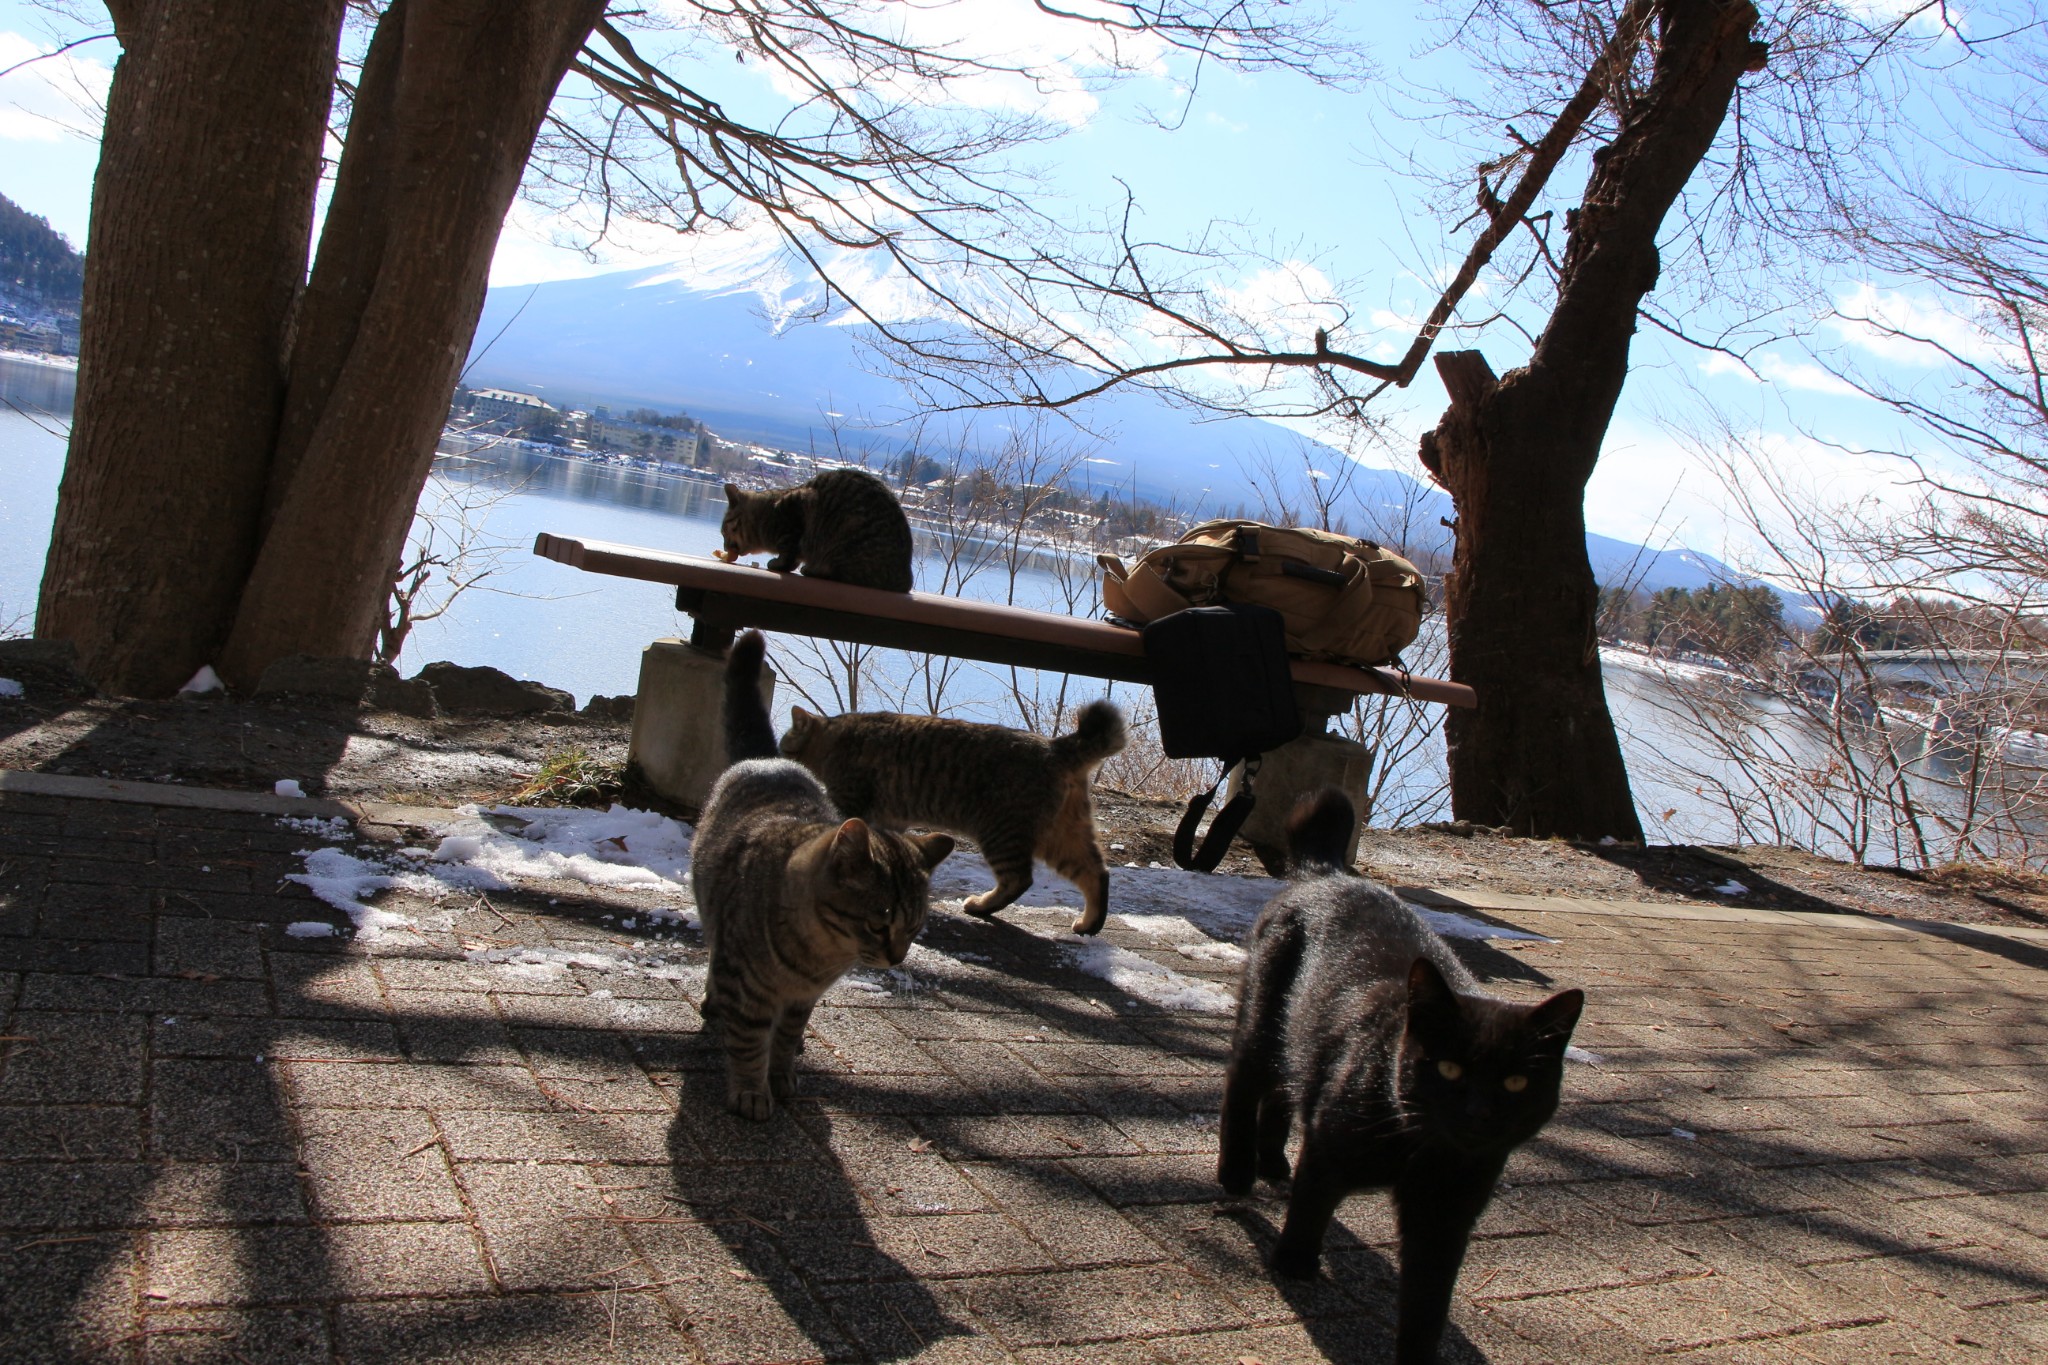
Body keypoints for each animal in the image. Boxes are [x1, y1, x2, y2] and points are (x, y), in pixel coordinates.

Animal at [684, 634, 946, 1121]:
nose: (897, 958)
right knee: (714, 962)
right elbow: (749, 1042)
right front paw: (751, 1090)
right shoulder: (746, 984)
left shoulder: (802, 1000)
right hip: (716, 921)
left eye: (915, 928)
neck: (817, 954)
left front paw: (783, 1074)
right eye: (878, 923)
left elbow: (785, 1039)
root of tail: (768, 759)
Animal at [720, 466, 913, 589]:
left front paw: (779, 564)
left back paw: (813, 569)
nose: (724, 547)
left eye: (723, 532)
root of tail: (906, 577)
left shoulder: (795, 513)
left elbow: (788, 551)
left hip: (846, 542)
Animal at [782, 703, 1138, 941]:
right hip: (1063, 835)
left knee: (1019, 879)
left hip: (1002, 832)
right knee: (1096, 873)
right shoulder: (890, 818)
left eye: (785, 742)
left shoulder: (851, 802)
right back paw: (1090, 924)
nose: (776, 753)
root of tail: (1055, 745)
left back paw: (981, 906)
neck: (836, 737)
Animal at [1212, 789, 1581, 1365]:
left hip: (1301, 1034)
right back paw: (1236, 1172)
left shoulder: (1447, 1212)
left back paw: (1272, 1162)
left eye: (1516, 1084)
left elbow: (1430, 1295)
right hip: (1264, 1017)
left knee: (1283, 1091)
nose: (1478, 1113)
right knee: (1243, 1083)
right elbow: (1313, 1202)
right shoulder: (1329, 1144)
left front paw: (1417, 1352)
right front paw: (1294, 1262)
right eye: (1449, 1068)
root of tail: (1327, 875)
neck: (1417, 1147)